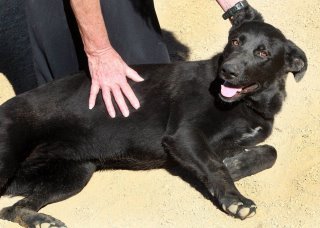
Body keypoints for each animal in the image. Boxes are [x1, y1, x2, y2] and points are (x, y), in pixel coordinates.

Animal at [0, 6, 308, 227]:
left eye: (263, 52)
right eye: (234, 41)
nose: (228, 71)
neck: (247, 104)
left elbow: (269, 152)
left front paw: (235, 165)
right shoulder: (183, 134)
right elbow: (214, 165)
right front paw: (235, 199)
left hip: (74, 173)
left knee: (13, 208)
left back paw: (41, 221)